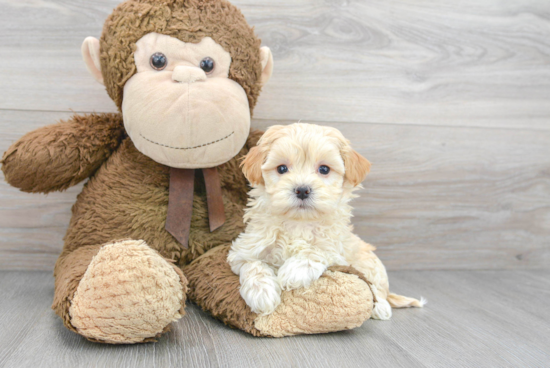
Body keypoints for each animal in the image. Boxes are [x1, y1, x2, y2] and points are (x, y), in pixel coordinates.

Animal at [226, 124, 424, 320]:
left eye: (324, 169)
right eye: (281, 168)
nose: (302, 190)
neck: (299, 223)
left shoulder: (337, 251)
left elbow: (318, 250)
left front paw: (294, 270)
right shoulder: (243, 251)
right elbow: (253, 265)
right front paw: (261, 293)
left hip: (369, 264)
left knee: (377, 290)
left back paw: (380, 307)